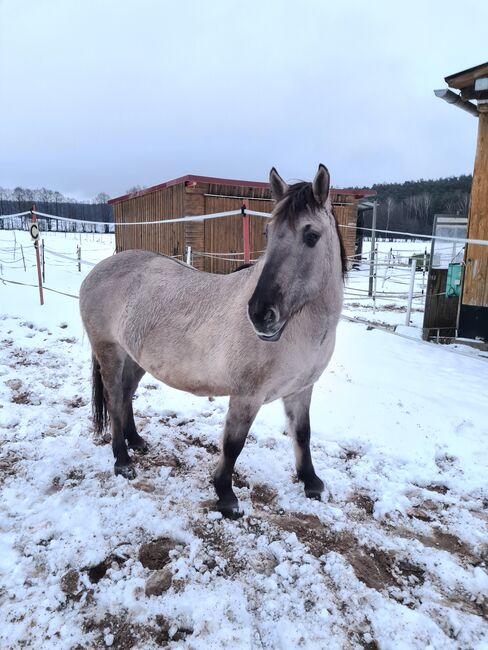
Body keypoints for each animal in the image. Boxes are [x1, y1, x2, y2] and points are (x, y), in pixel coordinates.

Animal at [80, 166, 346, 516]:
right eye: (267, 233)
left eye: (311, 236)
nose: (260, 314)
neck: (300, 329)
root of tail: (97, 271)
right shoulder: (246, 396)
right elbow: (233, 444)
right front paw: (226, 495)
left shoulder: (301, 390)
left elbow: (302, 434)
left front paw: (311, 482)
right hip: (109, 351)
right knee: (113, 399)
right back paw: (122, 461)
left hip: (135, 358)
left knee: (125, 396)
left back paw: (136, 441)